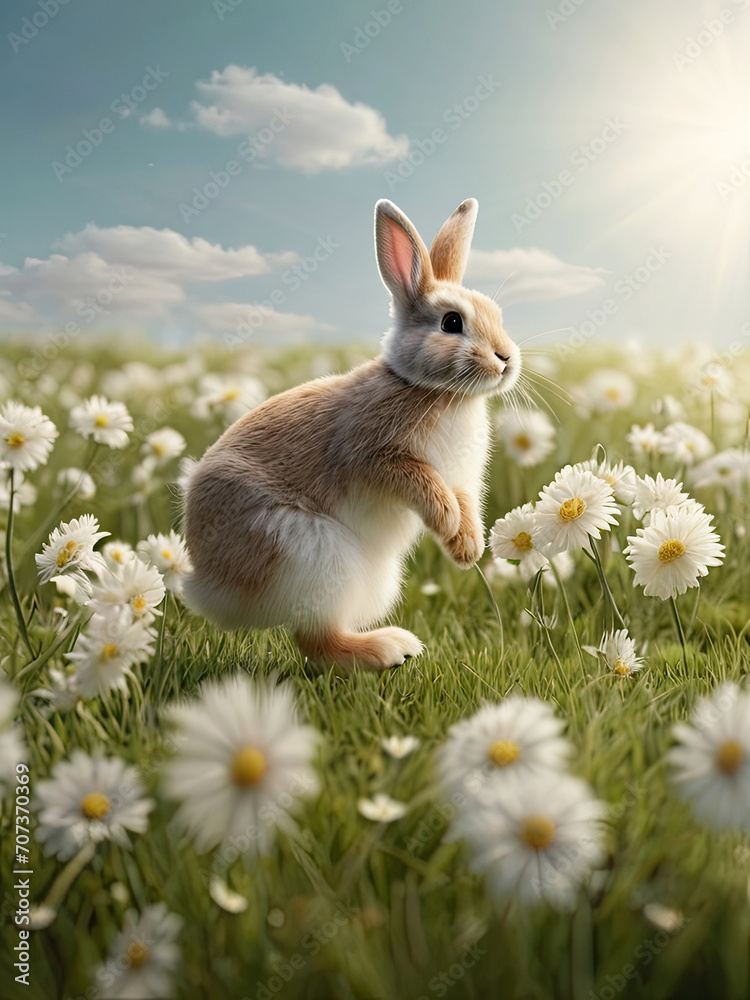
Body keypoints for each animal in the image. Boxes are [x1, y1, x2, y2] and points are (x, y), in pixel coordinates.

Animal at [182, 198, 520, 671]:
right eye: (452, 323)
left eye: (498, 315)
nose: (506, 358)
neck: (436, 392)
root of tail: (209, 588)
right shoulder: (376, 457)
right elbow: (424, 485)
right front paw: (449, 522)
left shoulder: (461, 479)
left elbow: (465, 502)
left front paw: (466, 547)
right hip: (313, 551)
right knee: (315, 639)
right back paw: (389, 649)